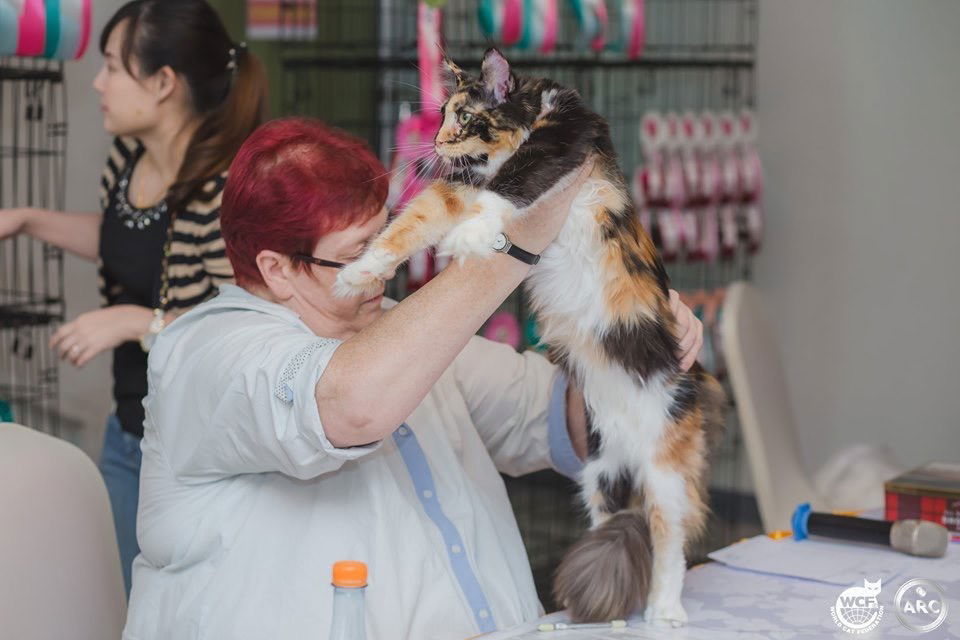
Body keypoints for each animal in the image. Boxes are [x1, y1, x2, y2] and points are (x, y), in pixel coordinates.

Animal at [334, 50, 724, 632]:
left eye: (464, 116)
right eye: (440, 117)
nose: (438, 144)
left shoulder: (564, 138)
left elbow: (513, 184)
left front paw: (468, 239)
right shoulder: (456, 190)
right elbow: (406, 228)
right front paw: (359, 275)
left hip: (667, 469)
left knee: (670, 539)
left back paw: (666, 611)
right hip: (601, 477)